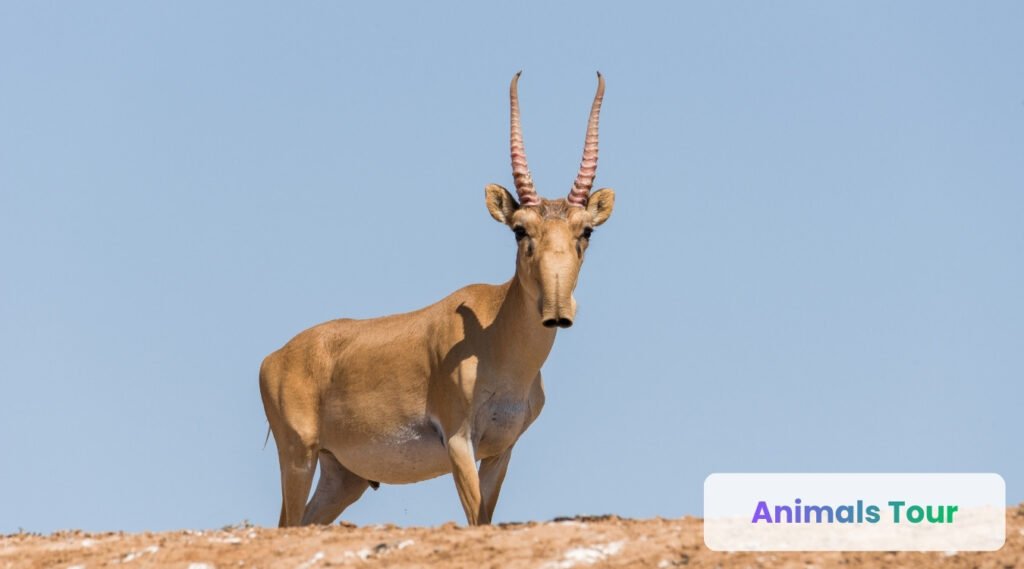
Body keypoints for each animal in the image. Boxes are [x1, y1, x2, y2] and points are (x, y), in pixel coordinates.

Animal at [259, 71, 615, 527]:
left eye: (585, 231)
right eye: (520, 229)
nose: (557, 312)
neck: (493, 338)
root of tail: (274, 358)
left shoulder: (500, 451)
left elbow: (485, 518)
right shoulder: (459, 442)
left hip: (343, 476)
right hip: (298, 457)